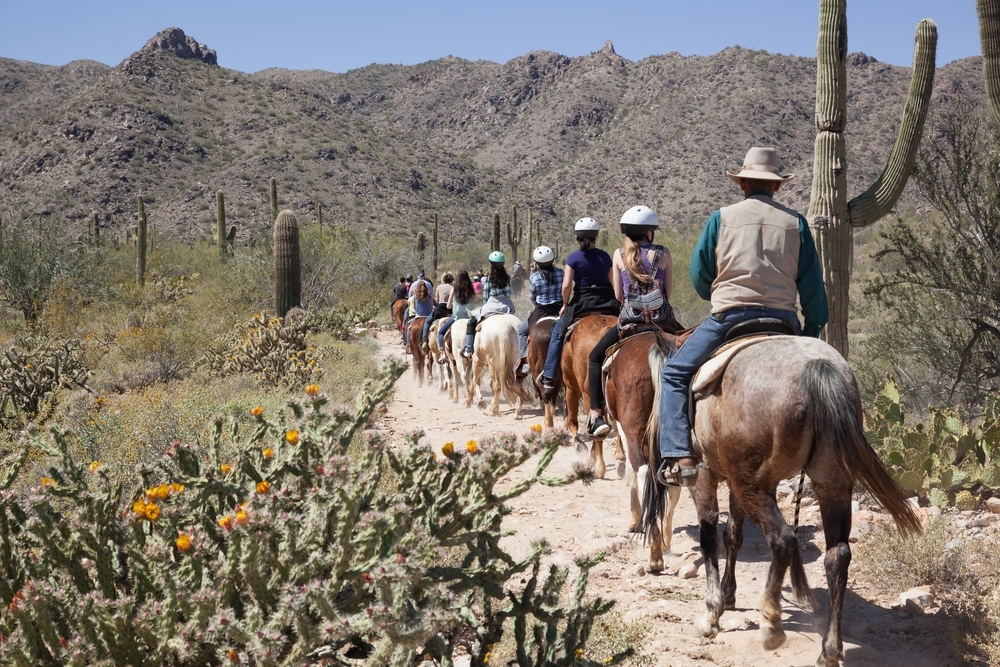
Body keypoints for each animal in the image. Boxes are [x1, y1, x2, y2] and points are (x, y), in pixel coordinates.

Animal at [548, 314, 624, 480]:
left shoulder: (571, 388)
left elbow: (572, 421)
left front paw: (580, 446)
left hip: (587, 393)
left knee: (598, 429)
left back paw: (599, 467)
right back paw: (619, 458)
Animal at [628, 334, 916, 667]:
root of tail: (817, 369)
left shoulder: (704, 478)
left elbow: (709, 538)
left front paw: (712, 613)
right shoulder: (735, 483)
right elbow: (733, 535)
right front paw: (729, 595)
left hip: (754, 485)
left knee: (783, 538)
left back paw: (772, 623)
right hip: (828, 484)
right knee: (837, 555)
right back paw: (829, 650)